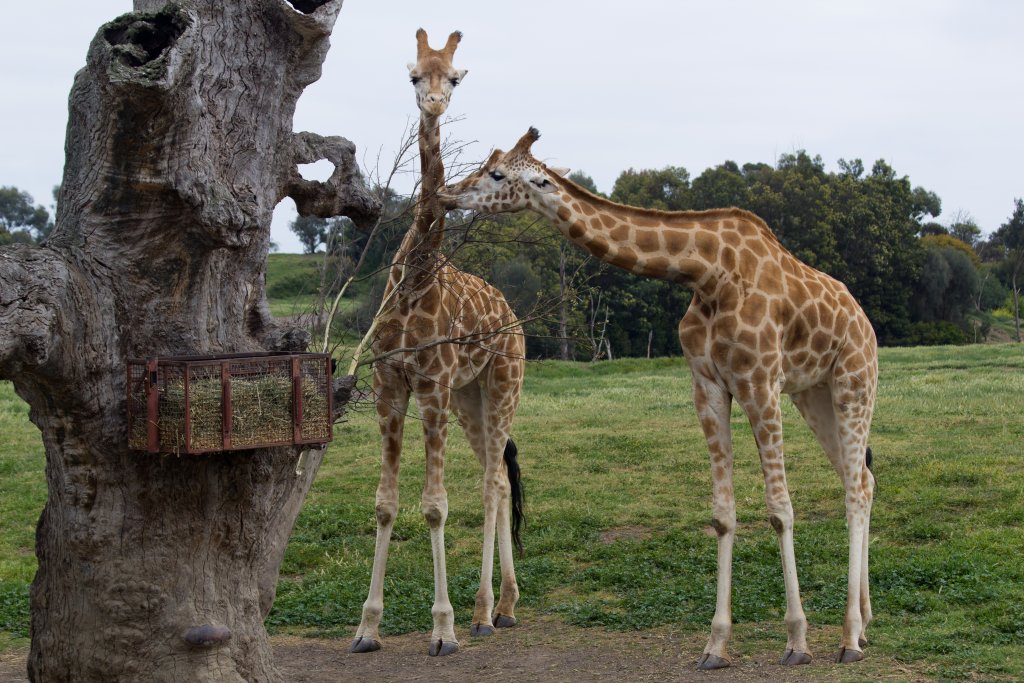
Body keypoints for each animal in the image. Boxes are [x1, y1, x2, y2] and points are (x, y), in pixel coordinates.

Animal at [350, 31, 526, 657]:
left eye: (454, 76)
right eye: (413, 76)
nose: (433, 103)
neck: (416, 277)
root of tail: (514, 319)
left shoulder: (430, 387)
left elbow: (434, 506)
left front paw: (443, 629)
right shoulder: (389, 387)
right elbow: (384, 504)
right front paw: (367, 628)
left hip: (501, 386)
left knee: (493, 482)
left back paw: (484, 612)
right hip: (469, 400)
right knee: (497, 477)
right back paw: (502, 607)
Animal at [440, 128, 877, 668]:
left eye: (498, 174)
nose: (447, 194)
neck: (707, 273)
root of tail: (864, 321)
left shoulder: (759, 382)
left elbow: (779, 509)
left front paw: (796, 641)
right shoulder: (707, 386)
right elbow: (722, 514)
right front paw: (716, 644)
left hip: (854, 380)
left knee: (856, 487)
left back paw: (850, 637)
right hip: (814, 394)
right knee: (861, 479)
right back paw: (865, 623)